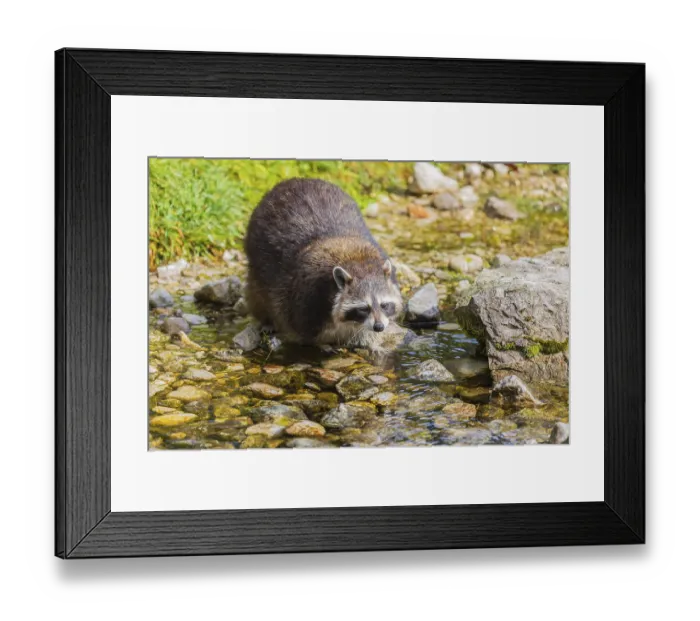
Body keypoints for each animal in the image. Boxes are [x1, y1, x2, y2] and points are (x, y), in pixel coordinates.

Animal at [244, 178, 403, 350]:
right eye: (363, 308)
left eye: (384, 305)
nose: (379, 326)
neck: (358, 263)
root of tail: (295, 180)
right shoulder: (306, 301)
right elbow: (301, 330)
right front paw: (323, 345)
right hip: (256, 255)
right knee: (258, 292)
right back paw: (266, 319)